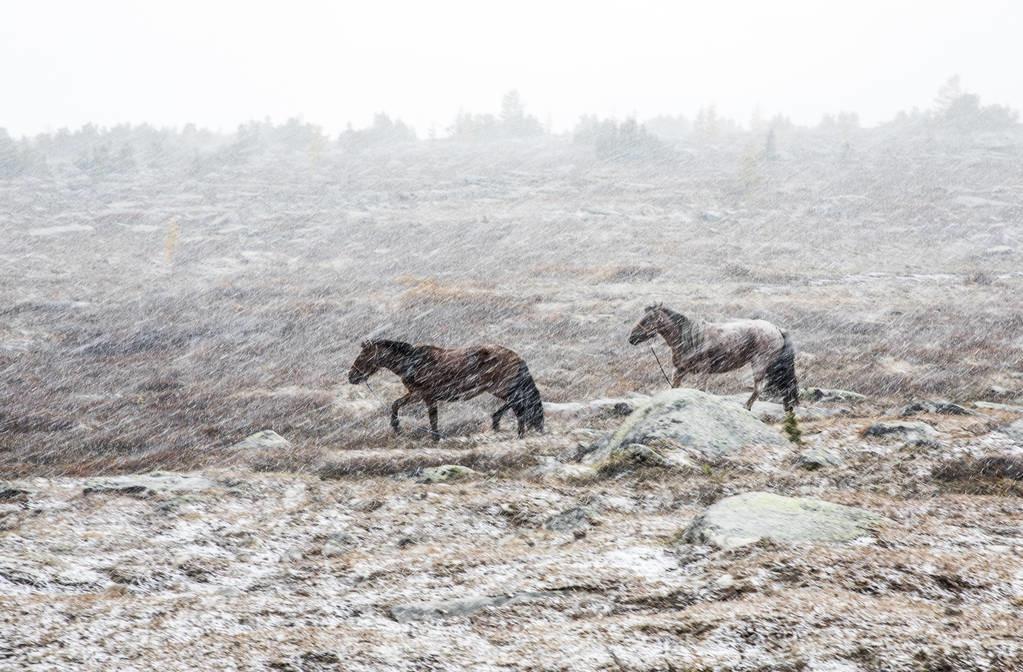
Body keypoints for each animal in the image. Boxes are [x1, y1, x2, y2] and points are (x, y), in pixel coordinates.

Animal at [349, 341, 544, 439]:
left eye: (363, 355)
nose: (351, 376)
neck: (413, 363)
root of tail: (517, 357)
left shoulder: (426, 395)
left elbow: (432, 417)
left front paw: (435, 437)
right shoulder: (416, 394)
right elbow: (396, 404)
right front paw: (397, 428)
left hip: (502, 388)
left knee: (518, 406)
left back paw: (515, 432)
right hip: (499, 389)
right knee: (516, 405)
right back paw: (503, 426)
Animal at [621, 302, 797, 409]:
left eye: (648, 319)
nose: (632, 338)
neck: (689, 338)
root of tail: (776, 329)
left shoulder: (703, 372)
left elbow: (701, 390)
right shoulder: (679, 371)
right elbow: (673, 388)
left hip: (760, 364)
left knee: (758, 389)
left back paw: (746, 407)